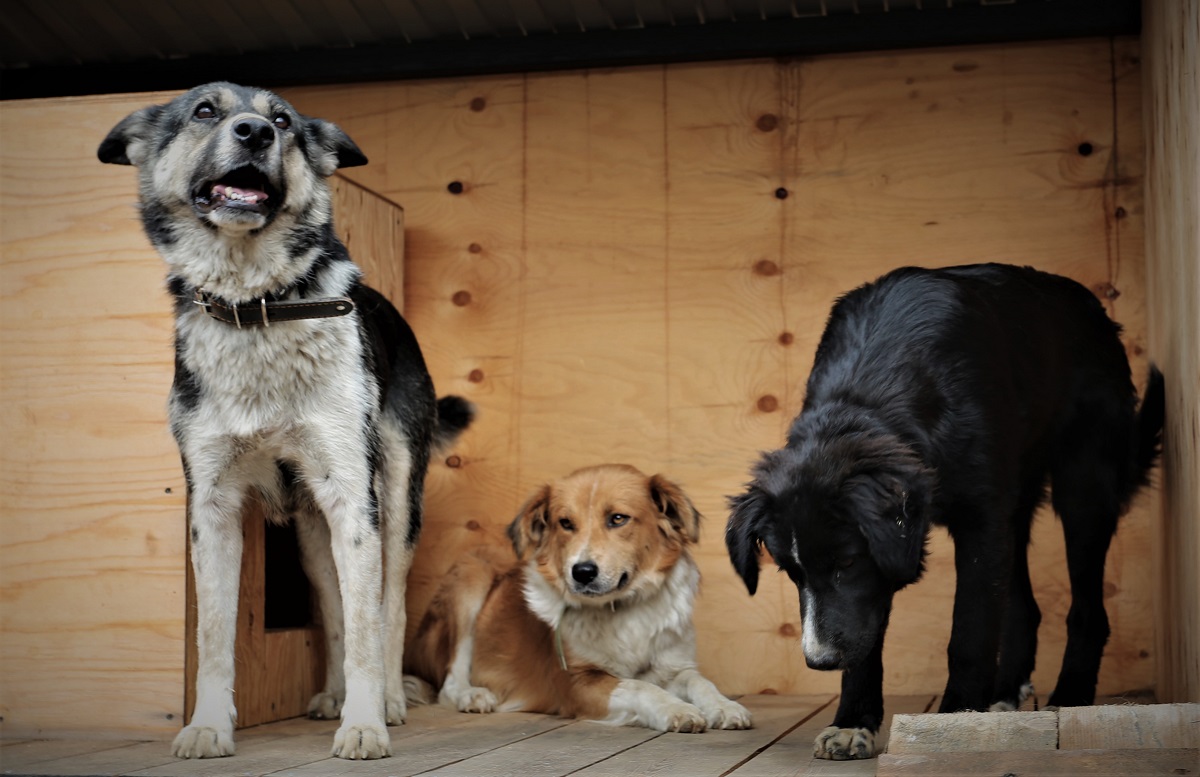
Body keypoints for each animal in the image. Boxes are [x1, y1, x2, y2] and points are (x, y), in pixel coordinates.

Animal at [99, 83, 472, 757]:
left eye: (283, 120)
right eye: (205, 111)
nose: (256, 133)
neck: (256, 307)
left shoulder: (354, 494)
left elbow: (369, 624)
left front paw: (365, 724)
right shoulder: (213, 505)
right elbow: (215, 636)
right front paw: (209, 726)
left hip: (396, 499)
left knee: (388, 604)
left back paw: (390, 700)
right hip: (310, 536)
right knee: (334, 606)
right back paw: (331, 695)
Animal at [408, 465, 753, 733]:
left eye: (618, 519)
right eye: (565, 523)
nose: (582, 572)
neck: (621, 608)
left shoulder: (672, 666)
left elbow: (699, 681)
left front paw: (725, 706)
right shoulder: (576, 683)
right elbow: (638, 686)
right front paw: (675, 709)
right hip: (471, 574)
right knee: (449, 682)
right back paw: (473, 695)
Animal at [720, 264, 1161, 757]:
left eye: (846, 563)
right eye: (790, 573)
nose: (819, 661)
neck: (870, 398)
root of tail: (1094, 309)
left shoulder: (979, 523)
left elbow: (968, 633)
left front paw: (953, 725)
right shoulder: (902, 551)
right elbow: (868, 637)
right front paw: (853, 721)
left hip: (1084, 485)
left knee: (1088, 610)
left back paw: (1069, 698)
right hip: (1017, 506)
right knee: (1023, 605)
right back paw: (1005, 694)